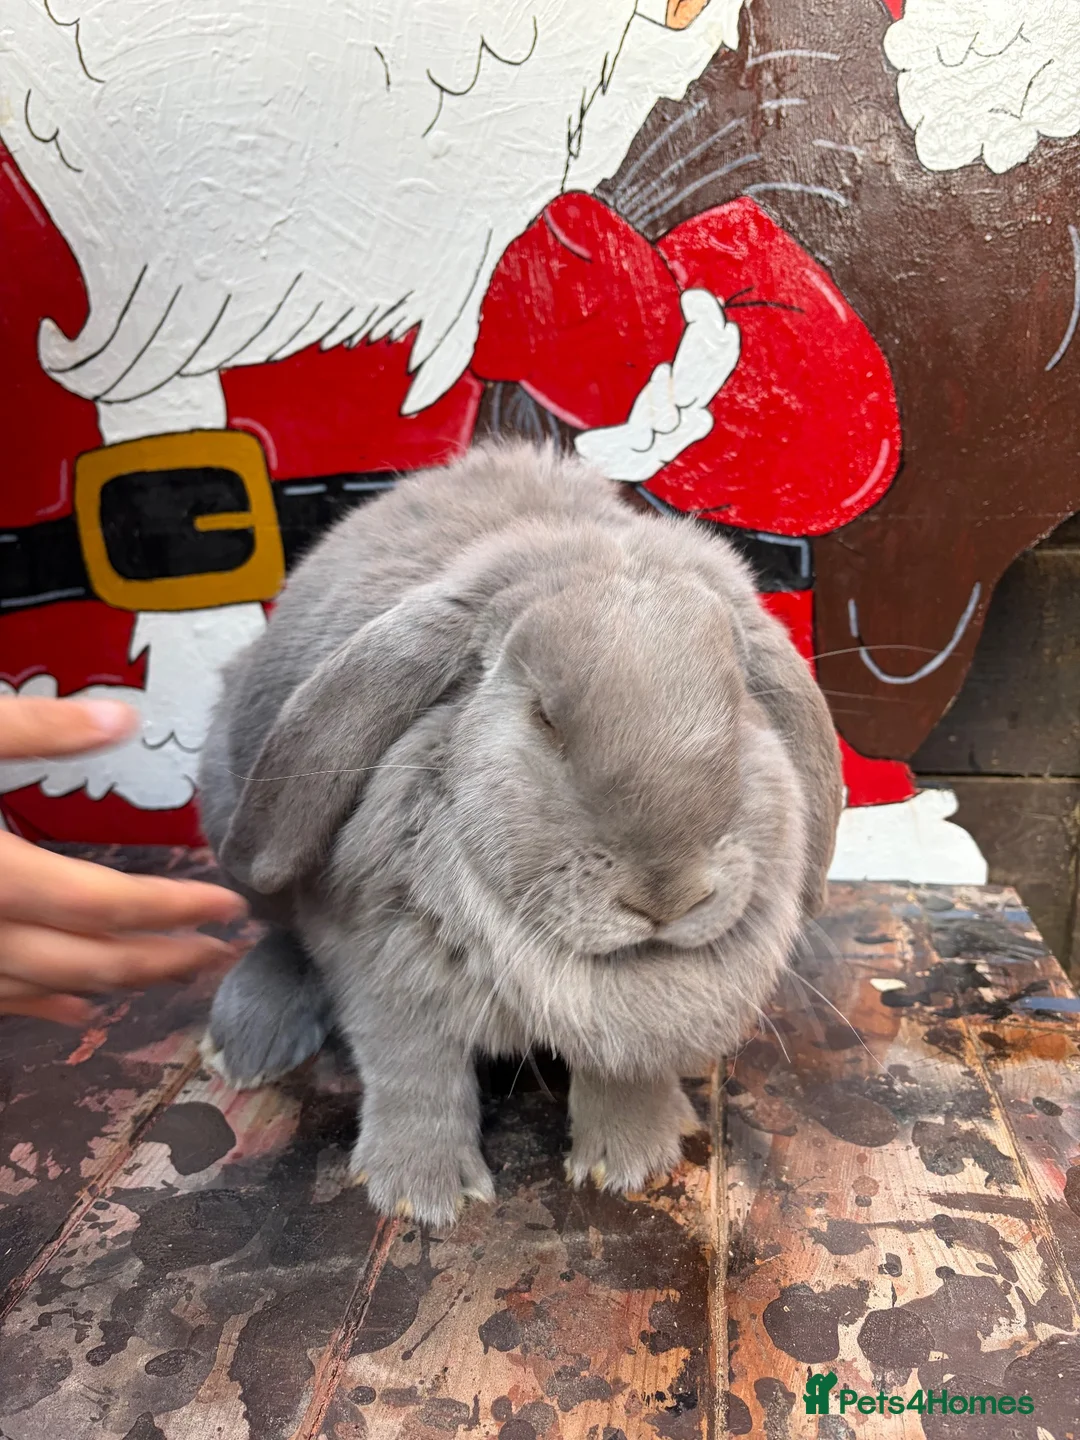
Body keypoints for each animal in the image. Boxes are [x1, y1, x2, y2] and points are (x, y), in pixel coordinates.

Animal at [197, 441, 842, 1225]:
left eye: (741, 702)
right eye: (544, 717)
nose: (669, 895)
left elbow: (623, 1071)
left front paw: (631, 1161)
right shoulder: (379, 961)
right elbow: (413, 1066)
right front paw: (422, 1192)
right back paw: (247, 1046)